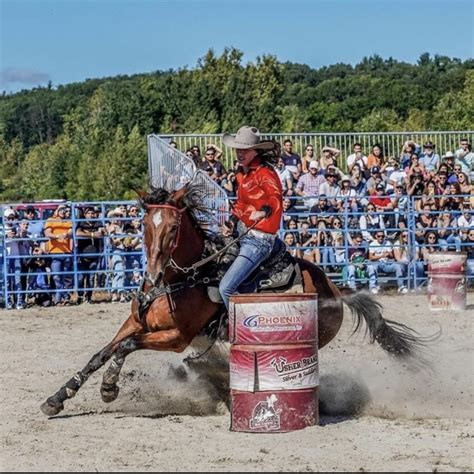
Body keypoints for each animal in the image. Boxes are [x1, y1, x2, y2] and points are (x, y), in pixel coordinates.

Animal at [39, 183, 426, 416]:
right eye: (145, 225)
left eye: (173, 228)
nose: (153, 274)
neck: (181, 279)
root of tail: (335, 289)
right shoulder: (135, 322)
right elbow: (100, 353)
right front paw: (57, 398)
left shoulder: (176, 338)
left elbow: (124, 348)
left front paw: (109, 388)